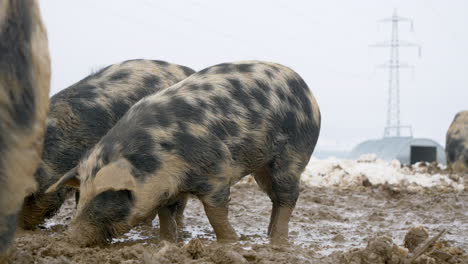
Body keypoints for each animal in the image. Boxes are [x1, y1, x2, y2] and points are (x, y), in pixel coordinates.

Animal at [49, 60, 322, 245]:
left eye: (104, 195)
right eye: (82, 195)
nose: (70, 237)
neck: (158, 155)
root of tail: (306, 89)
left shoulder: (216, 173)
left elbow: (215, 212)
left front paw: (230, 242)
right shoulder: (164, 188)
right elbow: (165, 214)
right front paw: (168, 242)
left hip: (293, 154)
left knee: (287, 197)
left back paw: (277, 240)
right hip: (262, 168)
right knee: (274, 197)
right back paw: (268, 234)